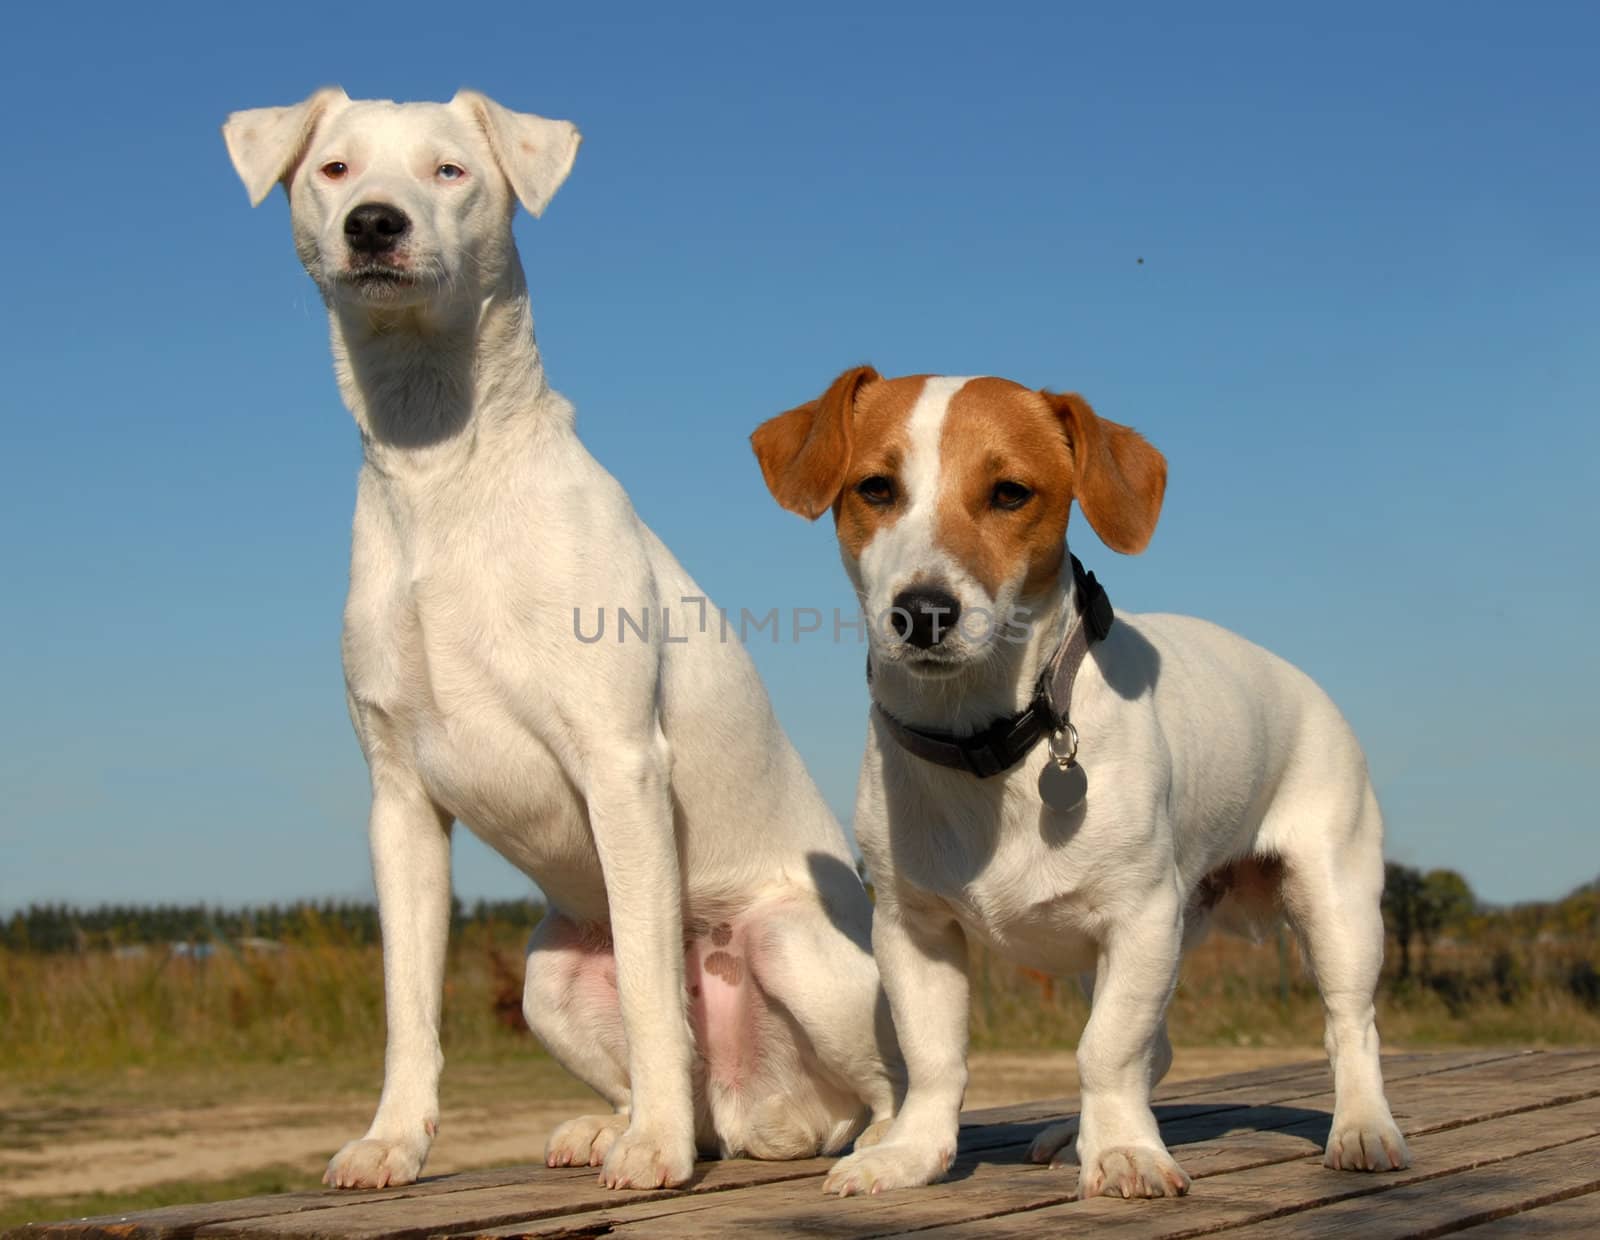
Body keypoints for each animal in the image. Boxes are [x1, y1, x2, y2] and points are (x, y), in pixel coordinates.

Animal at [222, 92, 902, 1196]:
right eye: (333, 168)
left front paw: (655, 1151)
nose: (375, 223)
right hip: (548, 973)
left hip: (797, 945)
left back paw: (849, 1145)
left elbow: (653, 993)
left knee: (877, 1086)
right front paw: (392, 1140)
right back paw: (616, 1126)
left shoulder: (619, 762)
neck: (441, 468)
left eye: (450, 170)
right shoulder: (399, 803)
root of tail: (763, 1109)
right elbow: (409, 1006)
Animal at [755, 371, 1408, 1203]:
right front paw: (910, 1152)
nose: (923, 613)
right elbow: (934, 1059)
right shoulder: (913, 929)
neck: (990, 741)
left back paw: (1362, 1128)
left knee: (1350, 1024)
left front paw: (1126, 1150)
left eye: (1009, 493)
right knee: (1162, 1049)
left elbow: (1107, 1049)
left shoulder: (1140, 919)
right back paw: (1073, 1135)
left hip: (1335, 904)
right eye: (875, 487)